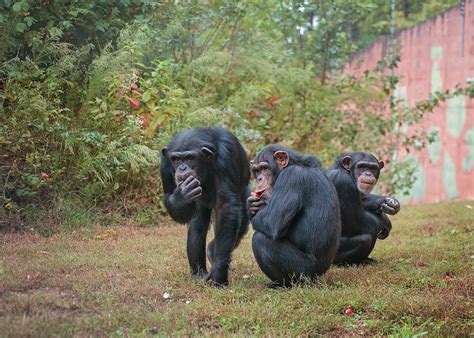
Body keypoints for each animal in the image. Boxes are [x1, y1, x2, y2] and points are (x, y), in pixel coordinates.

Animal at [160, 127, 250, 286]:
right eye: (176, 159)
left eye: (190, 158)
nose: (182, 168)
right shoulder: (164, 166)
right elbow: (170, 199)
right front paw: (180, 197)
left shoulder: (226, 157)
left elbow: (226, 206)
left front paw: (218, 273)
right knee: (198, 224)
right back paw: (198, 272)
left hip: (244, 193)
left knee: (240, 225)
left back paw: (212, 252)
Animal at [248, 145, 340, 288]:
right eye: (256, 171)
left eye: (265, 168)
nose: (259, 179)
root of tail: (319, 277)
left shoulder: (291, 177)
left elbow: (273, 221)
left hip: (304, 272)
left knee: (260, 240)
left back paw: (284, 285)